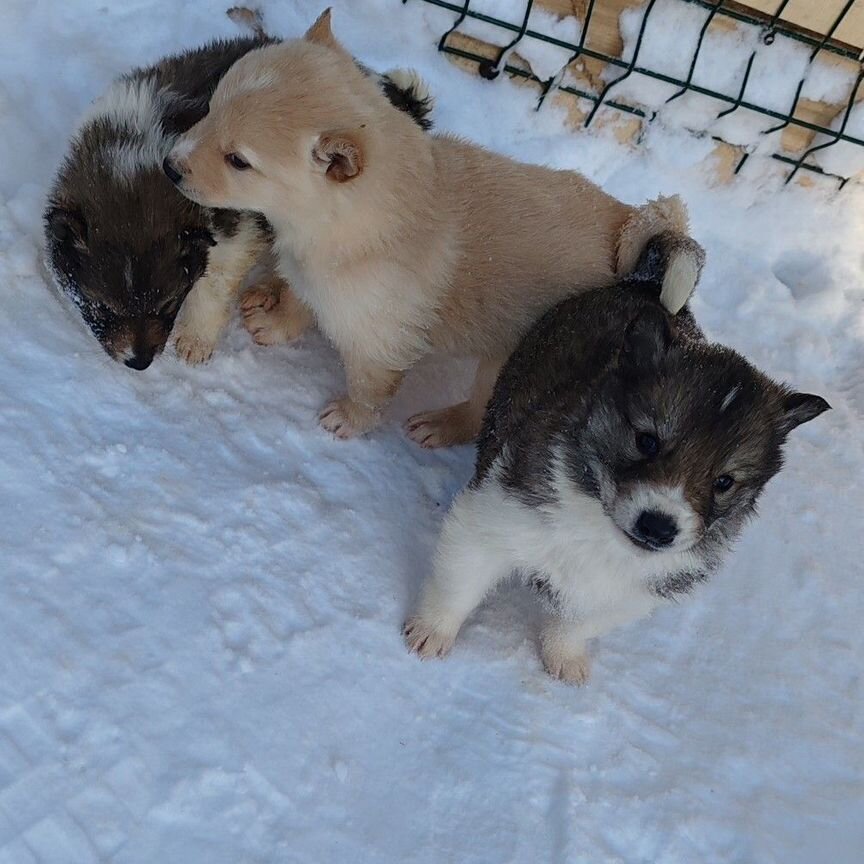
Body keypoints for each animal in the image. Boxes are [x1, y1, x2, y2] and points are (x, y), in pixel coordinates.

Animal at [44, 11, 432, 368]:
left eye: (168, 303)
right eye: (102, 306)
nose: (139, 363)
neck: (137, 158)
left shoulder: (235, 229)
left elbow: (214, 284)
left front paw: (195, 339)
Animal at [165, 8, 700, 446]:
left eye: (238, 161)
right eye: (209, 108)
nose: (169, 167)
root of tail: (628, 224)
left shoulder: (381, 341)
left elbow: (369, 387)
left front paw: (349, 419)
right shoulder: (317, 280)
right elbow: (302, 303)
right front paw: (276, 322)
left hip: (503, 360)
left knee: (480, 410)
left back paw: (442, 425)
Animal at [404, 233, 832, 684]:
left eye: (724, 482)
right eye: (647, 441)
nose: (658, 528)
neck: (601, 527)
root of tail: (646, 283)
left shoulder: (629, 592)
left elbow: (577, 623)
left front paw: (563, 656)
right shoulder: (495, 516)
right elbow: (459, 582)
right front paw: (431, 632)